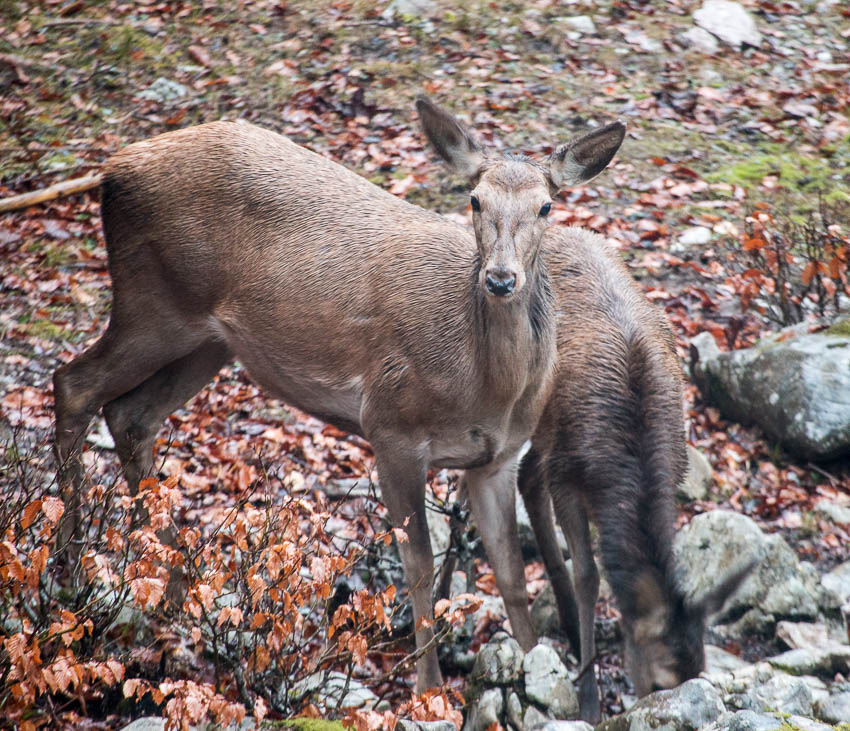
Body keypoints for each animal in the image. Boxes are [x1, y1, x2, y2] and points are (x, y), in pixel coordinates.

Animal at [51, 97, 624, 692]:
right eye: (474, 199)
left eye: (546, 207)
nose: (501, 278)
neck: (484, 387)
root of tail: (113, 170)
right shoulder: (390, 425)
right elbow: (418, 565)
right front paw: (428, 688)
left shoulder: (499, 456)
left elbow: (511, 575)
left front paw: (537, 666)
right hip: (153, 305)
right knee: (75, 384)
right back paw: (72, 566)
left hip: (208, 341)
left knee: (130, 414)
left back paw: (171, 589)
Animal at [512, 232, 752, 724]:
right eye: (660, 681)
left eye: (698, 675)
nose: (665, 707)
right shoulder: (567, 477)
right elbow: (589, 576)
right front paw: (588, 699)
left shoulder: (675, 471)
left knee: (526, 475)